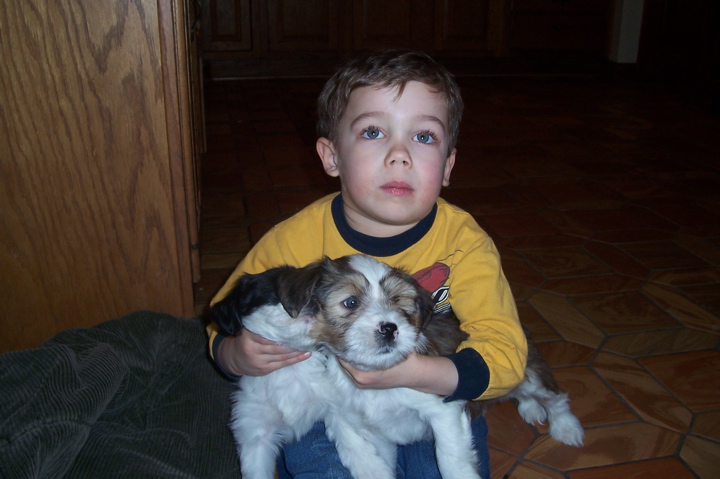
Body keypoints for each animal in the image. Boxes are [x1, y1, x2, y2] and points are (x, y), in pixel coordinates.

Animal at [211, 255, 584, 479]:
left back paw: (565, 428)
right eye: (350, 303)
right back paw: (531, 410)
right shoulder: (369, 430)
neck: (382, 378)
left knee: (555, 396)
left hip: (528, 372)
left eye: (400, 304)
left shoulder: (443, 411)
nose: (390, 328)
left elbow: (450, 459)